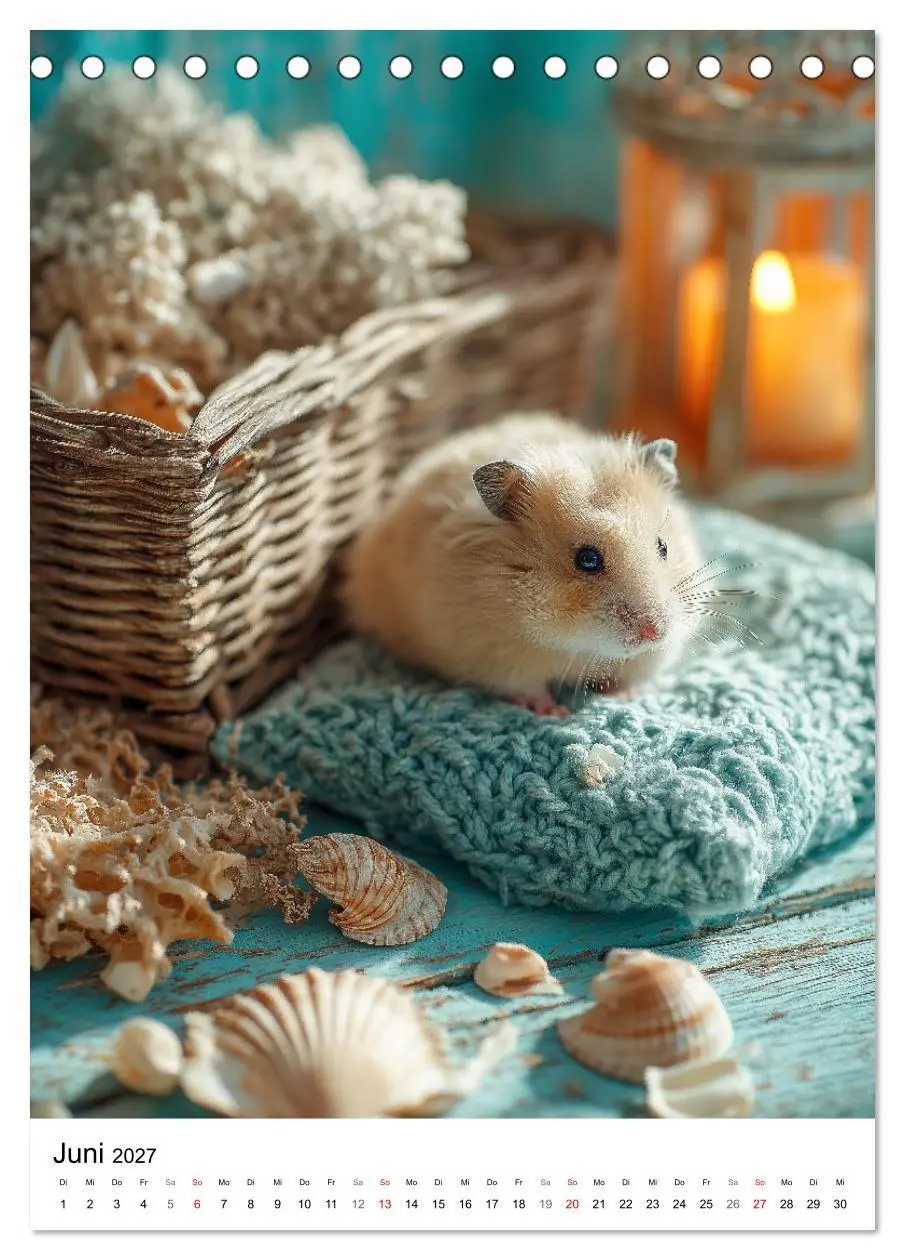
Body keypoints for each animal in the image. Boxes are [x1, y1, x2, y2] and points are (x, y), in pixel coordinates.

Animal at [342, 412, 705, 715]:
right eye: (587, 559)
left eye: (663, 547)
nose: (654, 633)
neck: (576, 644)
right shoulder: (497, 657)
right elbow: (527, 687)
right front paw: (553, 712)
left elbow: (628, 676)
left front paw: (627, 696)